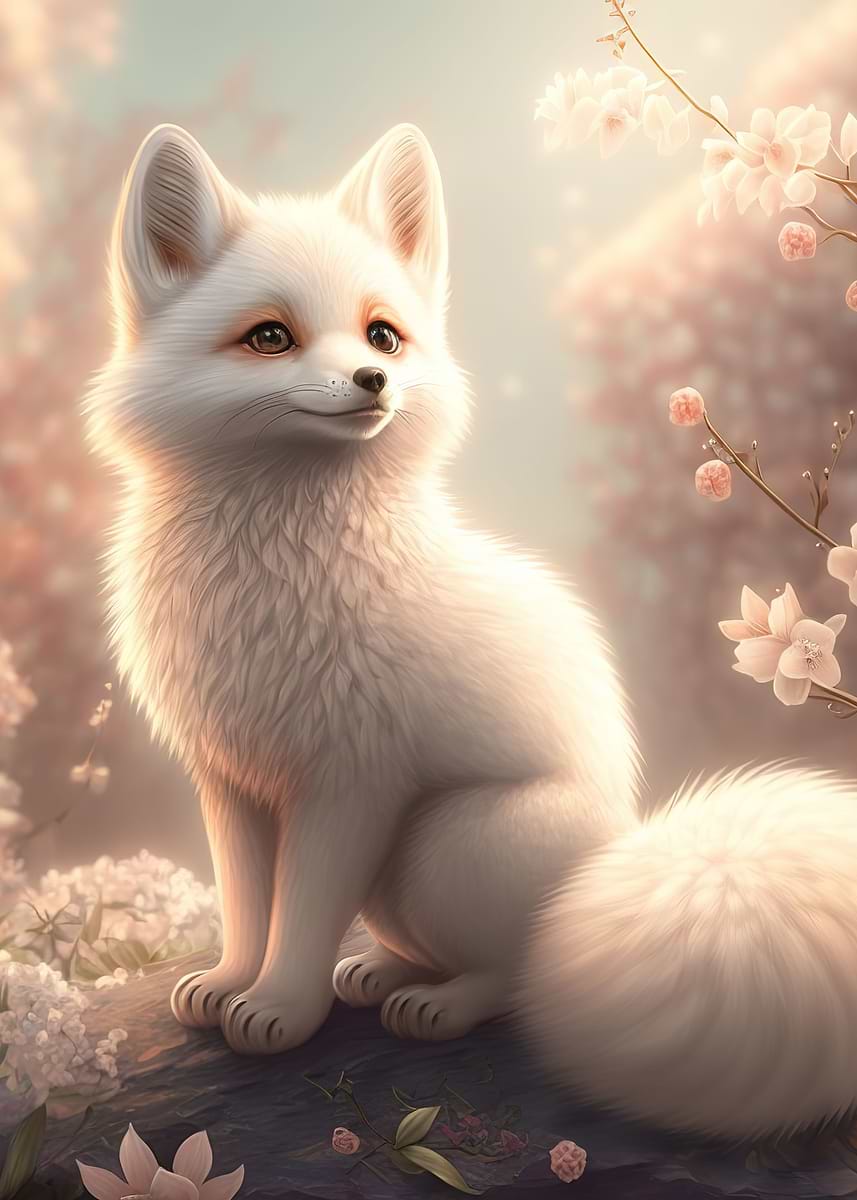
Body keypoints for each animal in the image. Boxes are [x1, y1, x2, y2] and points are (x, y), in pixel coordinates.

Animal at [84, 119, 857, 1142]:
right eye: (269, 336)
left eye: (381, 332)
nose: (373, 378)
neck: (270, 567)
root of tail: (621, 852)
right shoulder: (230, 778)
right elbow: (249, 905)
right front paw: (227, 984)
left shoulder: (351, 782)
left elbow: (303, 912)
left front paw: (280, 1009)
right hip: (401, 869)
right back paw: (380, 971)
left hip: (439, 840)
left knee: (520, 977)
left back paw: (437, 1004)